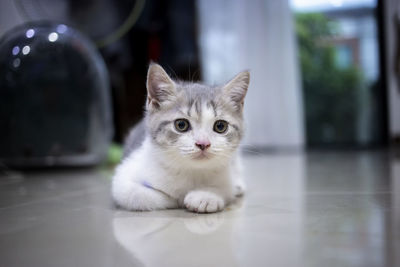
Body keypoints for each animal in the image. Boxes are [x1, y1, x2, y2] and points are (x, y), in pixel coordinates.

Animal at [111, 62, 250, 214]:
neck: (190, 171)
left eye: (220, 126)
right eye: (181, 125)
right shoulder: (122, 179)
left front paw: (205, 197)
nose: (203, 143)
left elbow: (226, 189)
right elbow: (139, 195)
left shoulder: (225, 175)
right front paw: (174, 199)